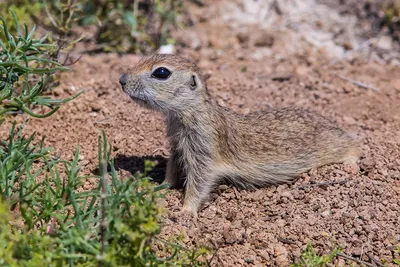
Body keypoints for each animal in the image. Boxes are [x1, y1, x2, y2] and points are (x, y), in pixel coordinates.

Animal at [119, 54, 360, 218]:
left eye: (161, 73)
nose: (121, 79)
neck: (187, 112)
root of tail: (333, 126)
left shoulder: (204, 149)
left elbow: (199, 181)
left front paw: (185, 211)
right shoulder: (178, 146)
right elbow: (172, 169)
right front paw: (159, 186)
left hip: (335, 144)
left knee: (352, 146)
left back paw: (352, 162)